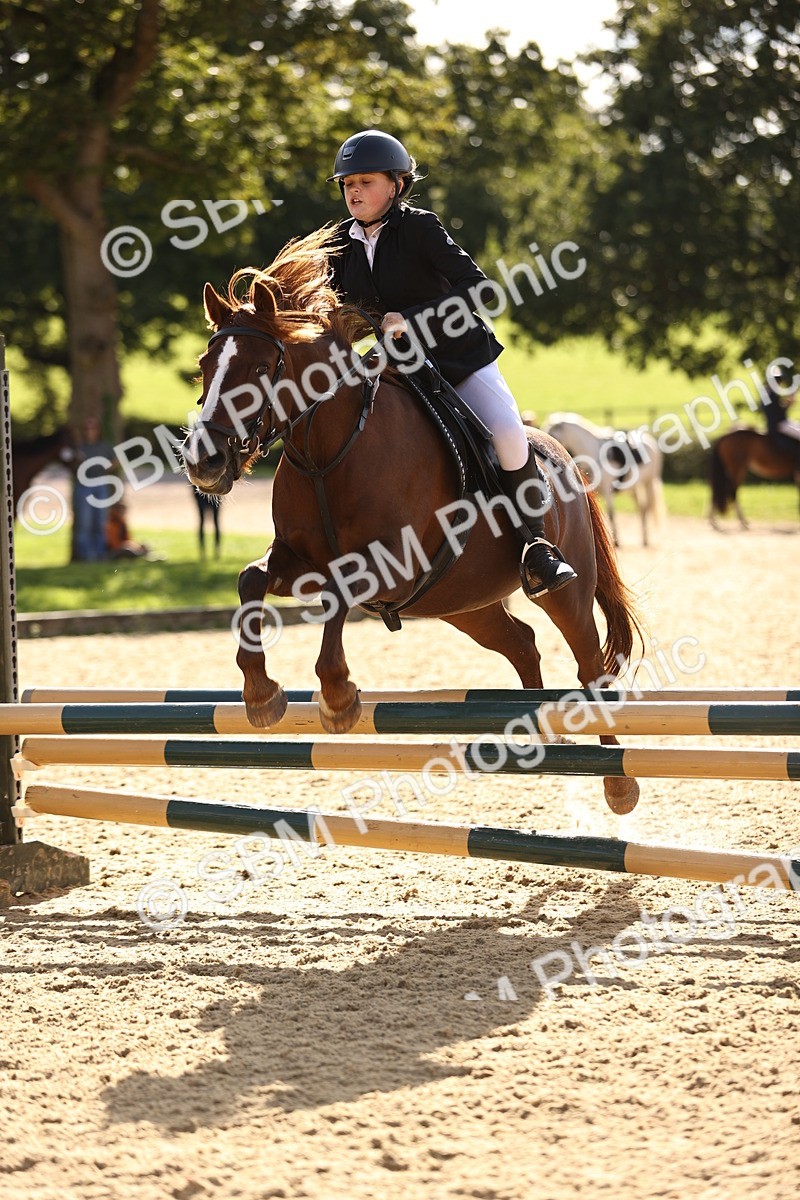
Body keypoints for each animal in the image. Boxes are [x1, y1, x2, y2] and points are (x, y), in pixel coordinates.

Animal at [182, 228, 645, 815]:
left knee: (590, 666)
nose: (204, 462)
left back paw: (618, 782)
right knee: (521, 641)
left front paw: (337, 697)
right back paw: (541, 733)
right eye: (205, 365)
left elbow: (339, 594)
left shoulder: (391, 564)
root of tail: (565, 459)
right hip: (465, 604)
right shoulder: (300, 561)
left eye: (261, 370)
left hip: (566, 588)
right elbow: (252, 580)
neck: (329, 453)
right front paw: (261, 695)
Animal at [540, 413, 665, 548]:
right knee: (642, 508)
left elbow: (611, 514)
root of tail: (651, 441)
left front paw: (616, 541)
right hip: (634, 488)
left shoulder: (607, 491)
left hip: (648, 483)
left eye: (550, 432)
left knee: (646, 507)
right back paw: (644, 538)